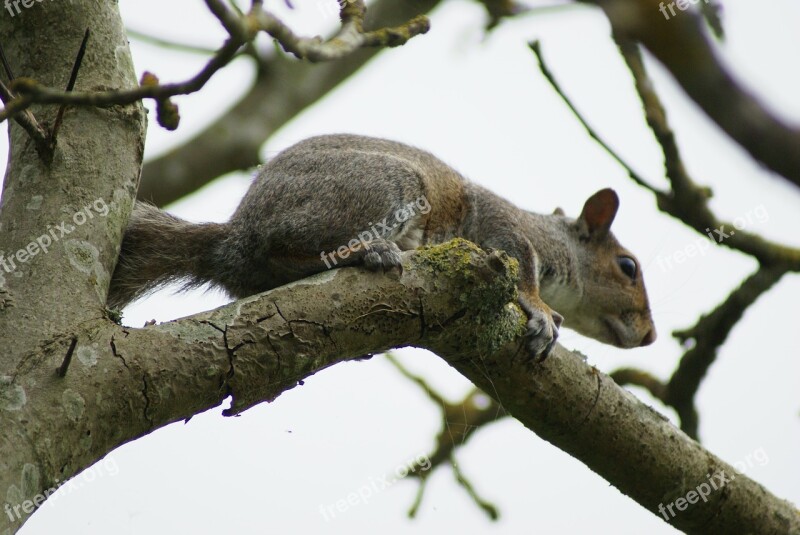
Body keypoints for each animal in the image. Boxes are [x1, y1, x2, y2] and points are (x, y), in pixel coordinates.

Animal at [108, 134, 656, 360]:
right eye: (628, 267)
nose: (650, 336)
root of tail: (235, 236)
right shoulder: (504, 229)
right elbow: (520, 269)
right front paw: (541, 310)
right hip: (384, 187)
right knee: (285, 248)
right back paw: (370, 253)